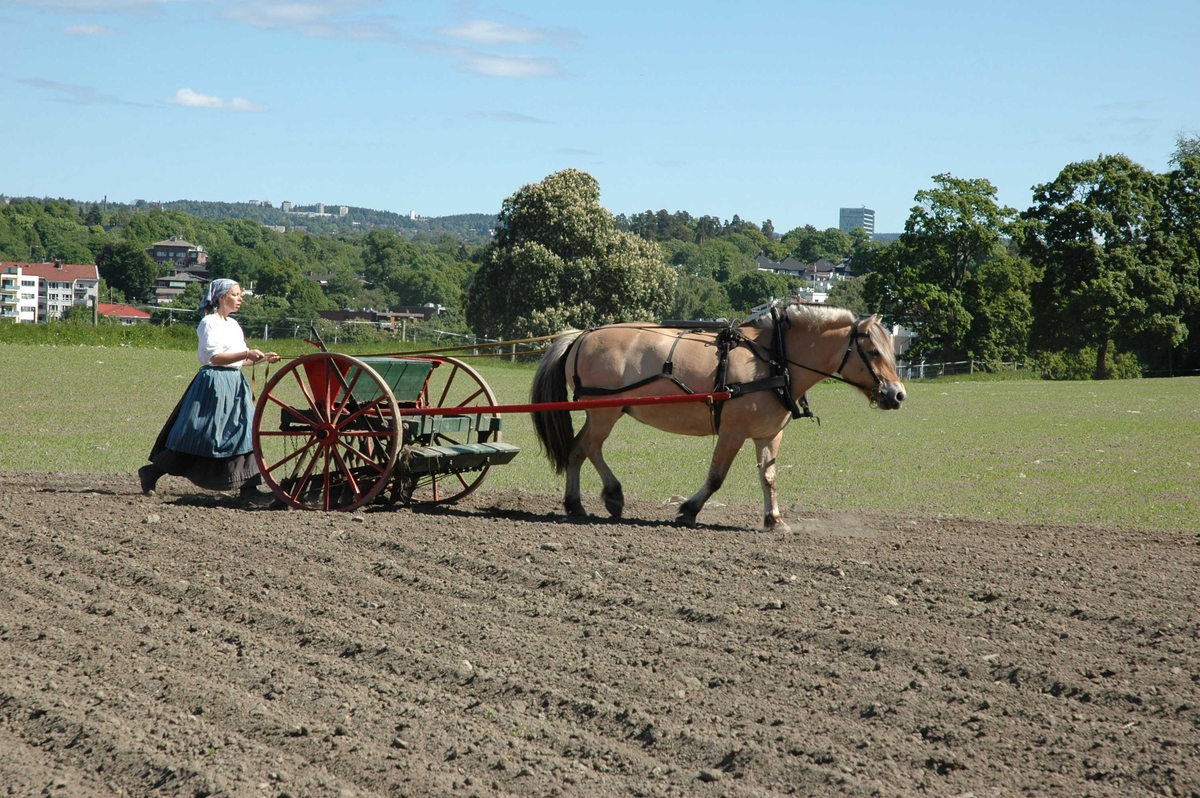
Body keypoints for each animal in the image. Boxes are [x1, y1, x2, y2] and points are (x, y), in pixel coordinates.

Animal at [530, 302, 902, 532]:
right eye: (873, 352)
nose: (898, 395)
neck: (774, 360)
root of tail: (580, 336)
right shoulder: (732, 432)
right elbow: (716, 477)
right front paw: (688, 511)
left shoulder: (768, 434)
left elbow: (769, 477)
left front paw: (774, 520)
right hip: (603, 412)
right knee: (584, 449)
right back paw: (592, 501)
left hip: (603, 413)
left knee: (581, 450)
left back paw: (594, 500)